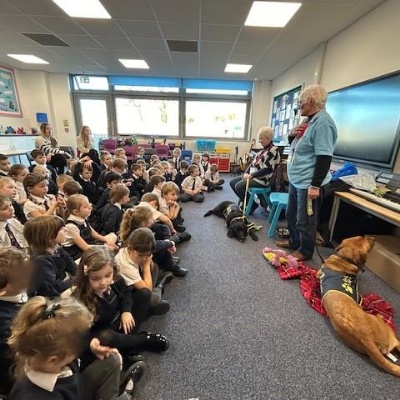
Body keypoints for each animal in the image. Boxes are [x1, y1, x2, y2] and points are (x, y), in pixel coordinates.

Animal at [317, 236, 400, 377]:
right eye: (366, 241)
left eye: (361, 236)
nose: (373, 237)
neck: (343, 259)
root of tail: (366, 338)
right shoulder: (359, 297)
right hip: (389, 332)